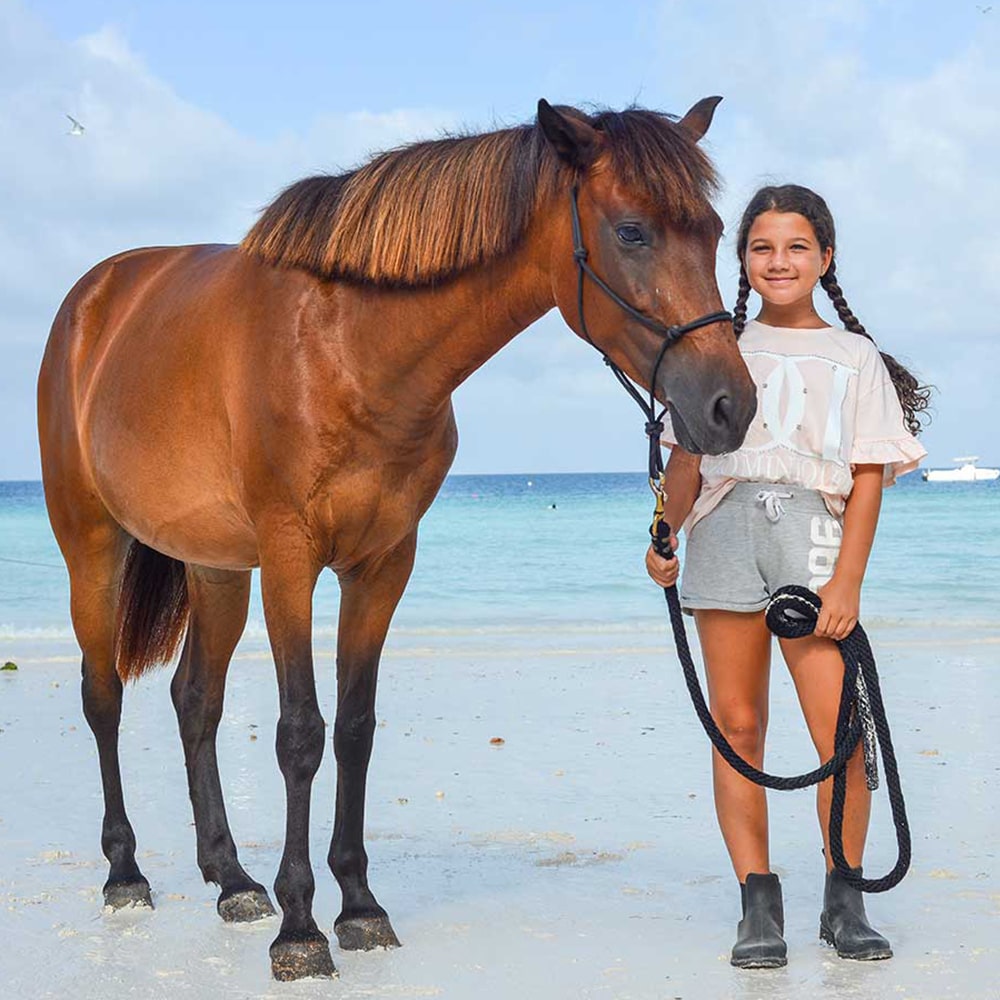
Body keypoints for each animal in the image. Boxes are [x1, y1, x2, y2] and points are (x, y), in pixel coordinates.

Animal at [39, 97, 756, 980]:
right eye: (631, 231)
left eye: (715, 230)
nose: (731, 406)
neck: (349, 348)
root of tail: (92, 300)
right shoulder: (290, 560)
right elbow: (301, 734)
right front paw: (302, 929)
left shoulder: (382, 565)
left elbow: (354, 728)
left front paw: (358, 906)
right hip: (93, 545)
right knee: (102, 696)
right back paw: (126, 872)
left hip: (215, 569)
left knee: (195, 701)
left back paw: (231, 878)